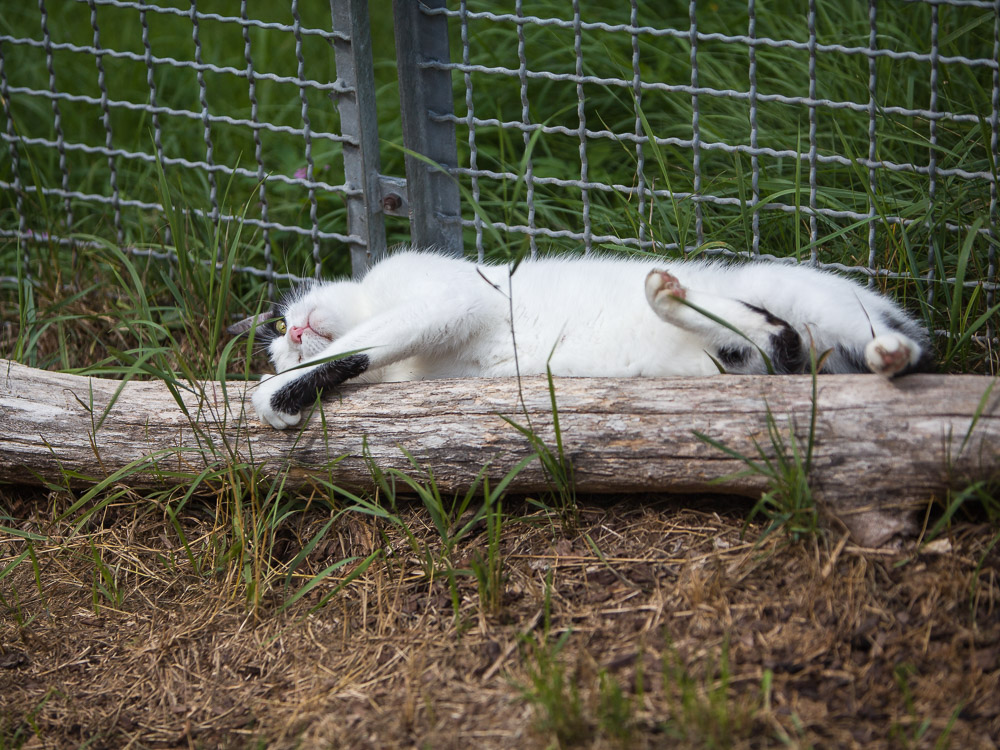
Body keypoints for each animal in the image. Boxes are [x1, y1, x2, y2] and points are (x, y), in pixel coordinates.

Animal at [230, 251, 932, 432]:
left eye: (278, 329)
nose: (295, 331)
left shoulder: (448, 298)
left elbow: (353, 345)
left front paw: (274, 394)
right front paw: (284, 393)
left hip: (811, 297)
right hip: (743, 362)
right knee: (774, 352)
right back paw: (671, 298)